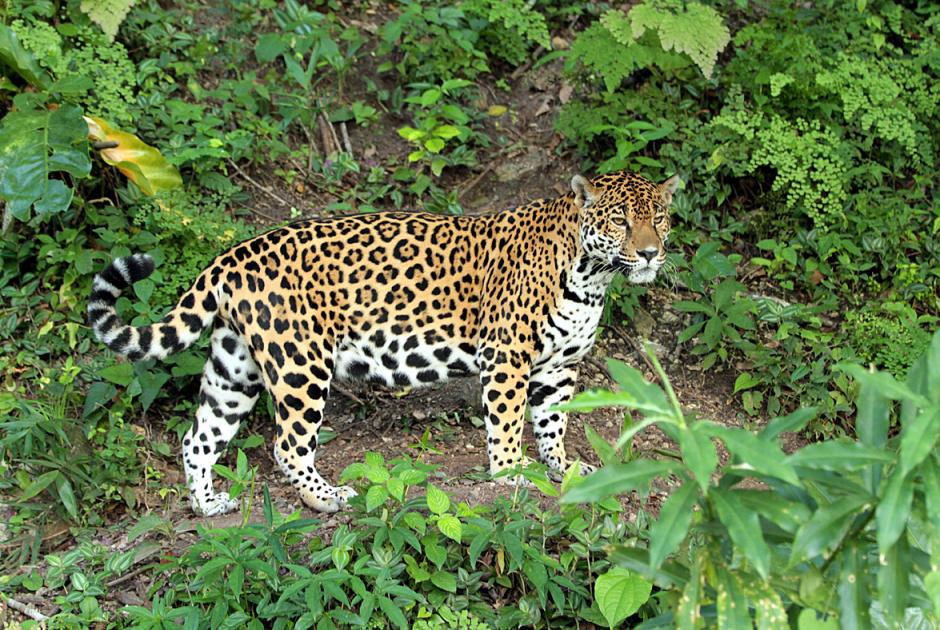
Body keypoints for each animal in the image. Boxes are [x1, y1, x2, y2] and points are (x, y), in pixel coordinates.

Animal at [87, 170, 679, 516]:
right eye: (620, 220)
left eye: (660, 218)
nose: (650, 253)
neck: (591, 277)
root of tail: (228, 257)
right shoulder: (508, 357)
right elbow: (509, 423)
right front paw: (513, 475)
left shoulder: (560, 365)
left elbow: (553, 424)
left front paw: (564, 469)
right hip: (300, 365)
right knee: (287, 444)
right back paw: (327, 498)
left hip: (235, 367)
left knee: (199, 437)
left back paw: (208, 505)